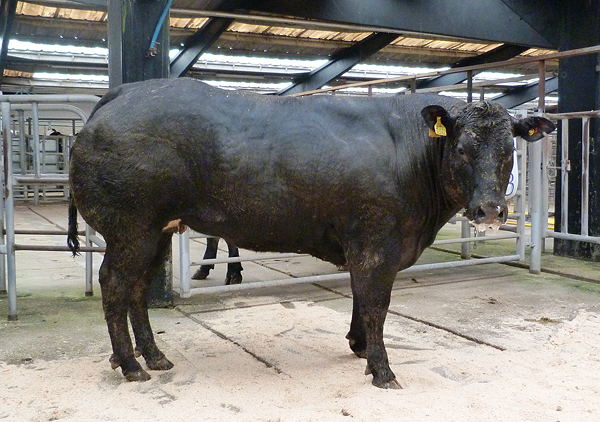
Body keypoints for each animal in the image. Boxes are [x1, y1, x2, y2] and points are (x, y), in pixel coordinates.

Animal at [68, 77, 556, 388]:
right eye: (461, 147)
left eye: (509, 149)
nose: (490, 209)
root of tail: (123, 93)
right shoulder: (378, 241)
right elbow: (376, 302)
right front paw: (382, 370)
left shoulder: (365, 244)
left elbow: (361, 296)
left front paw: (359, 346)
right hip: (131, 227)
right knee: (116, 284)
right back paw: (130, 365)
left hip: (157, 231)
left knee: (138, 288)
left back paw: (153, 356)